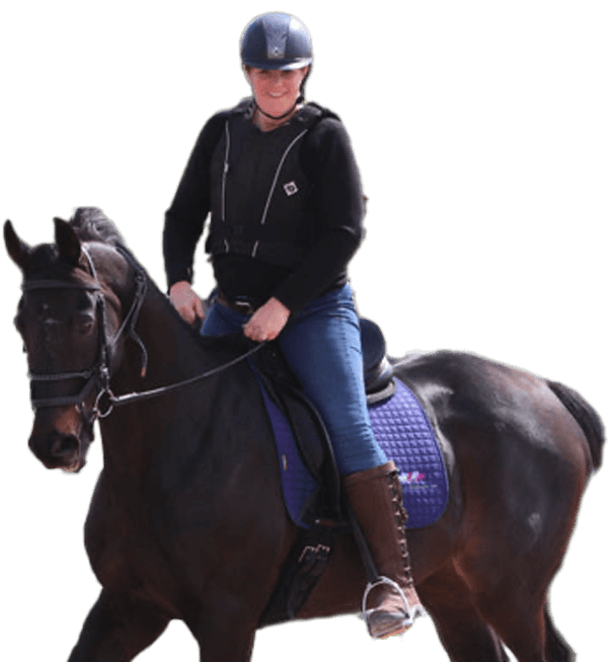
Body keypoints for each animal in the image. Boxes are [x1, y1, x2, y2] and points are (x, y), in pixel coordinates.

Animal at [4, 207, 604, 662]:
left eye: (84, 322)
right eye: (21, 323)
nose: (54, 445)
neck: (172, 444)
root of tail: (545, 389)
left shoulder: (225, 618)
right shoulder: (127, 606)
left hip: (512, 595)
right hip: (454, 592)